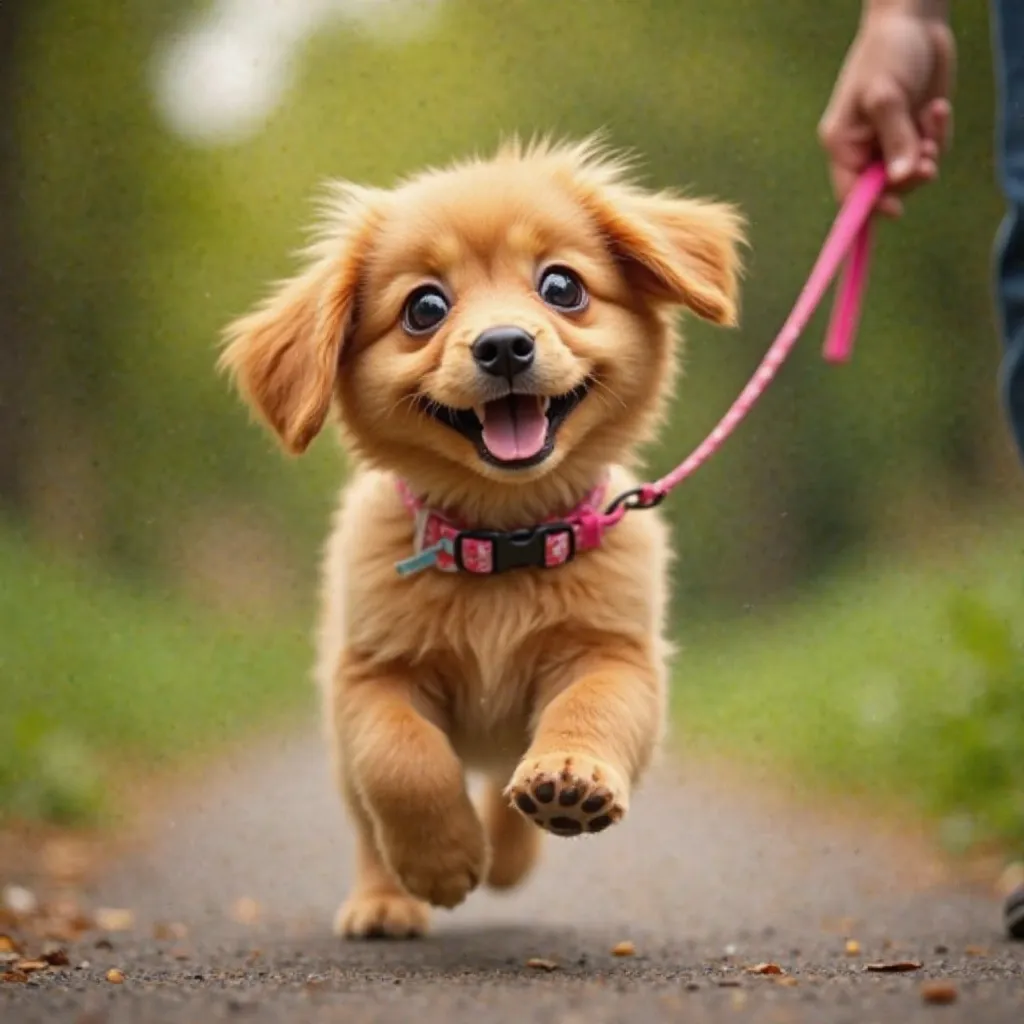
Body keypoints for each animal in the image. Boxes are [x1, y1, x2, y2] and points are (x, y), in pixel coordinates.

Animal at [218, 136, 745, 937]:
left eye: (562, 287)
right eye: (425, 307)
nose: (503, 346)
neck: (503, 545)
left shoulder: (617, 655)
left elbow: (590, 708)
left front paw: (569, 781)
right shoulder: (368, 676)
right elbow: (401, 761)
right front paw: (440, 863)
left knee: (503, 777)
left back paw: (515, 844)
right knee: (369, 820)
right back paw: (386, 899)